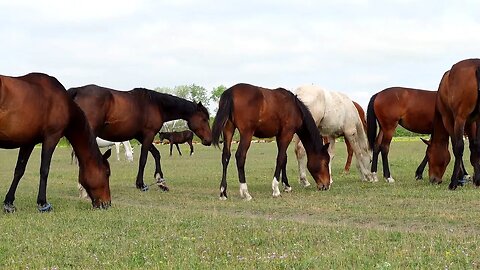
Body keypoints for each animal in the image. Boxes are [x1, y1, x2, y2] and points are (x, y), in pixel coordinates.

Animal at [0, 73, 111, 212]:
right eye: (107, 173)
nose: (107, 203)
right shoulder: (51, 137)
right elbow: (44, 170)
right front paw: (43, 203)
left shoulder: (28, 142)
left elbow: (19, 170)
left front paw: (8, 202)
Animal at [67, 84, 212, 192]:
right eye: (204, 119)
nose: (209, 140)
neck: (156, 105)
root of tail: (77, 90)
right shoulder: (148, 135)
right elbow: (143, 159)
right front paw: (141, 184)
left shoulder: (141, 137)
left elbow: (156, 154)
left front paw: (160, 181)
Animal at [426, 59, 480, 190]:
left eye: (428, 156)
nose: (433, 179)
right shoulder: (472, 122)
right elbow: (474, 147)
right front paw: (476, 179)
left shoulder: (449, 120)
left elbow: (457, 146)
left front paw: (459, 179)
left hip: (460, 118)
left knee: (459, 147)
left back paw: (453, 183)